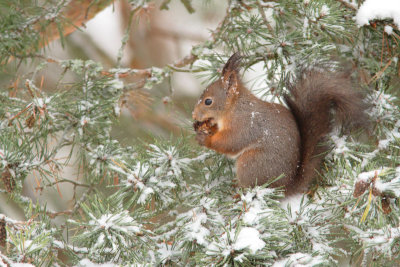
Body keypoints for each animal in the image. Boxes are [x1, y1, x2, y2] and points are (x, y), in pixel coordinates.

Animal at [192, 52, 368, 195]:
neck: (234, 108)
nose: (193, 114)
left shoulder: (245, 124)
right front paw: (205, 128)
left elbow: (232, 142)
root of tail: (285, 187)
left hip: (249, 164)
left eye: (208, 101)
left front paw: (205, 139)